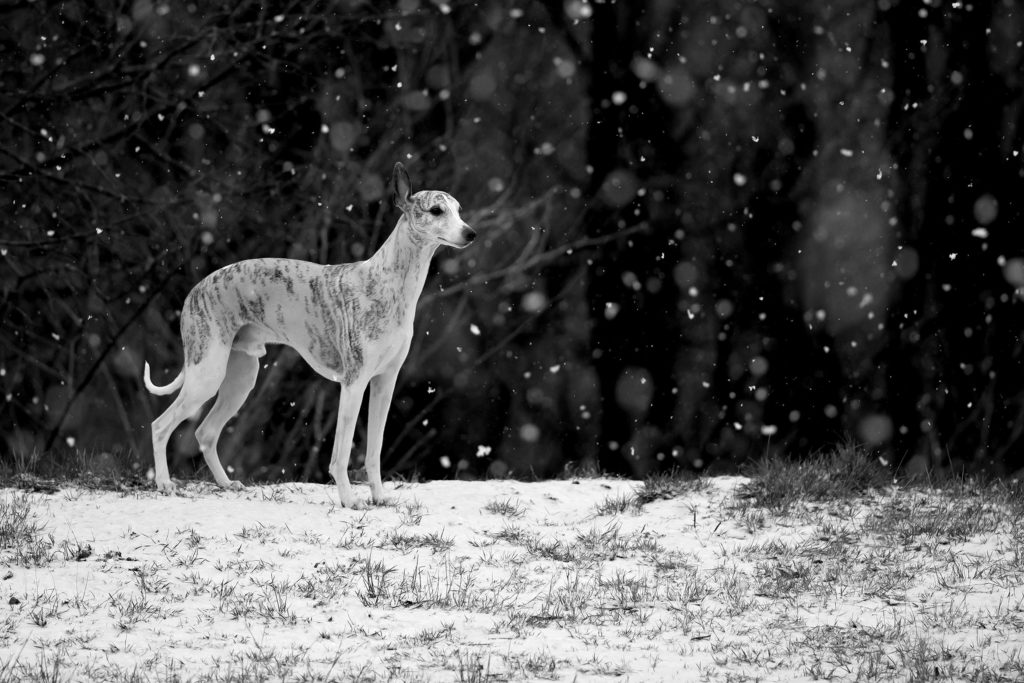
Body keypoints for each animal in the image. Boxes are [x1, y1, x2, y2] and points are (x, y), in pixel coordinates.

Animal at [143, 163, 475, 507]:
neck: (390, 284)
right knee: (160, 426)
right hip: (206, 374)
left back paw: (226, 484)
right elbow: (340, 455)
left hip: (240, 378)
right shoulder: (353, 383)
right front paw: (350, 501)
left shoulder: (385, 382)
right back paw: (165, 484)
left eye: (459, 210)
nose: (471, 233)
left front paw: (380, 498)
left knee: (205, 433)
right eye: (436, 210)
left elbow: (374, 450)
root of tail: (194, 291)